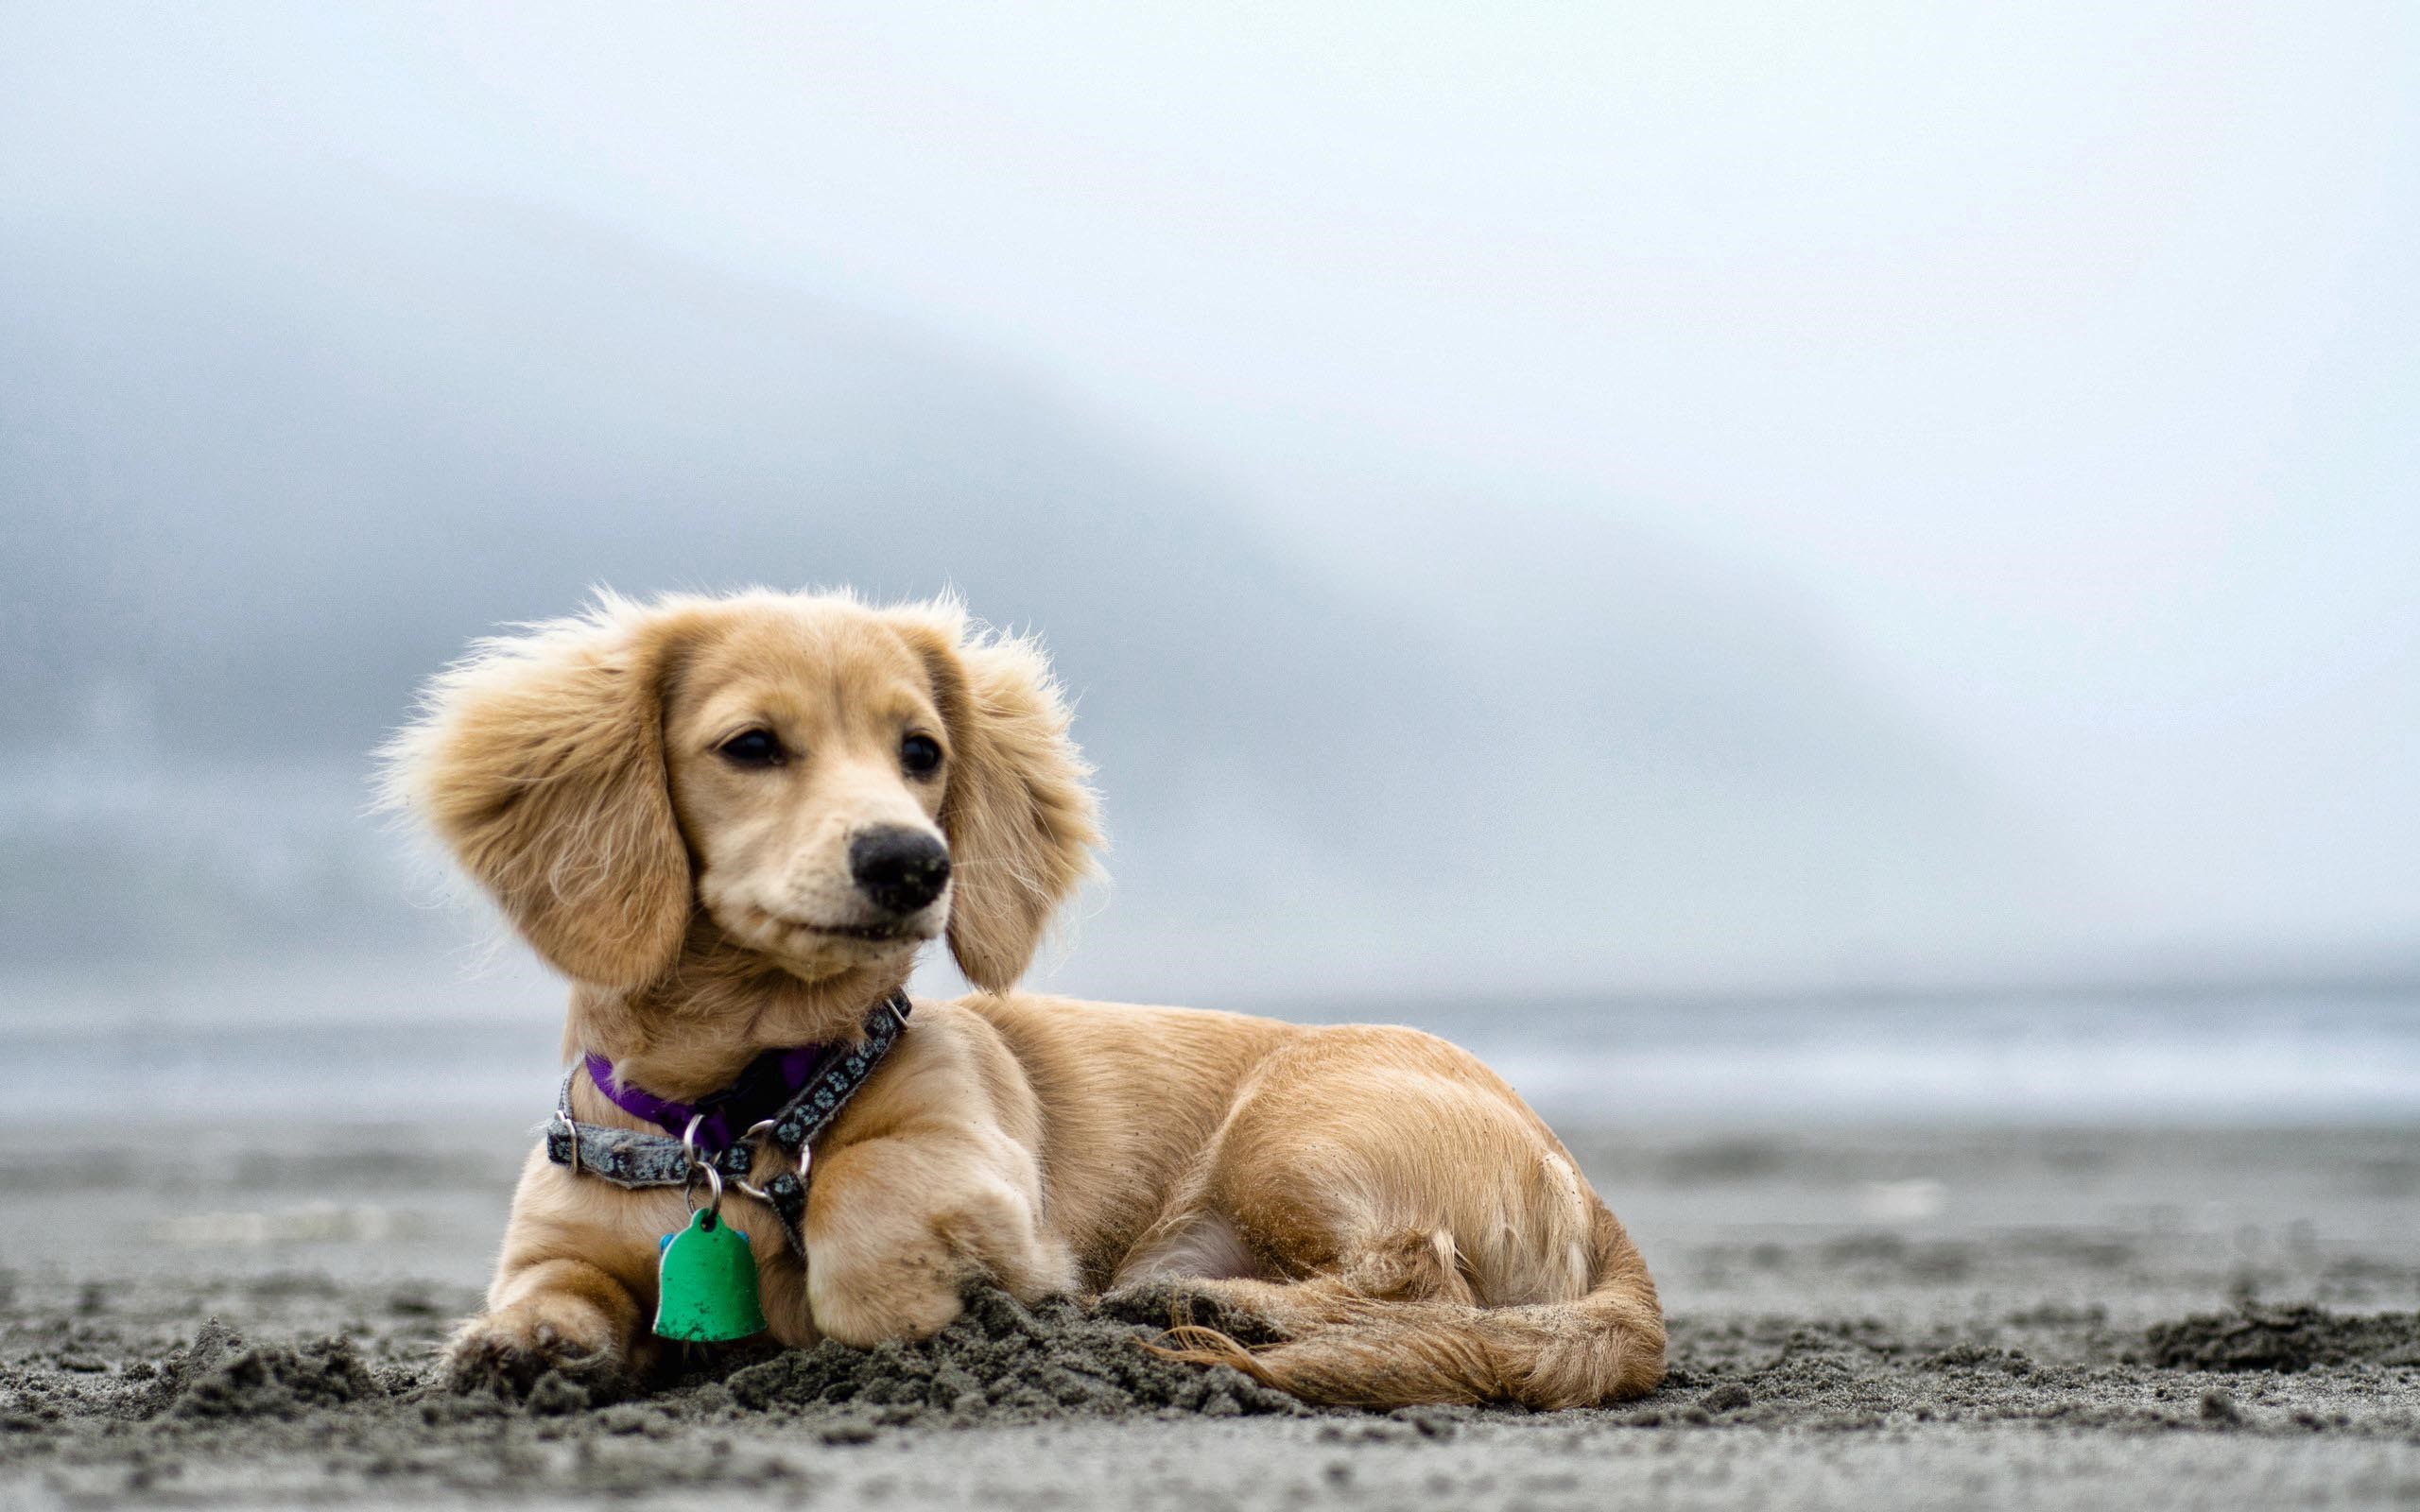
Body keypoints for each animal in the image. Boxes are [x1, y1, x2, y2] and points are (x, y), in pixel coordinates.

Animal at [382, 588, 1665, 1402]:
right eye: (750, 745)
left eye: (921, 751)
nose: (912, 862)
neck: (737, 1110)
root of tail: (1585, 1187)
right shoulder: (563, 1237)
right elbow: (552, 1286)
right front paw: (519, 1348)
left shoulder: (978, 1168)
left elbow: (860, 1200)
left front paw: (898, 1298)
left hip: (1297, 1129)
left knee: (1421, 1282)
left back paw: (1222, 1311)